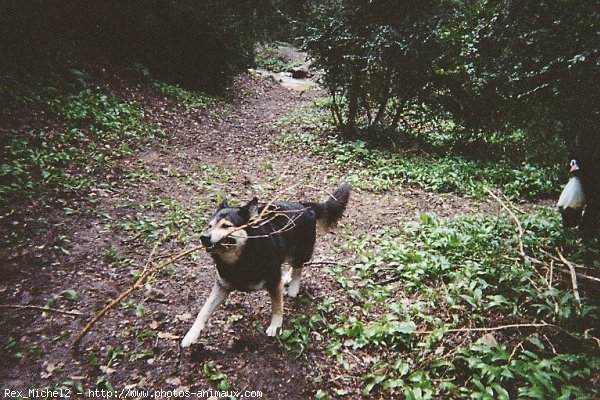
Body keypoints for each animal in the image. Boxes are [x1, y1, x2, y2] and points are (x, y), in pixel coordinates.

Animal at [183, 182, 352, 346]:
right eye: (209, 226)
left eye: (226, 226)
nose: (203, 237)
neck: (240, 259)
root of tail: (304, 205)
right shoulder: (222, 286)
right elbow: (204, 311)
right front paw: (191, 335)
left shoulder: (273, 281)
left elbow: (277, 307)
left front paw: (275, 326)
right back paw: (288, 278)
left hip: (298, 251)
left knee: (298, 266)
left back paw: (293, 287)